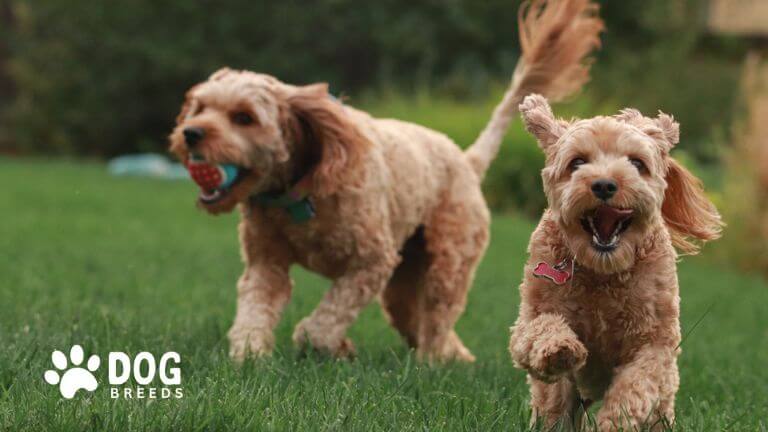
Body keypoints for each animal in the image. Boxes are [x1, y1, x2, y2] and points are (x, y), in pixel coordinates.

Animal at [171, 0, 604, 362]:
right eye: (200, 106)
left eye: (244, 117)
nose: (190, 134)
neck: (299, 193)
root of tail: (466, 159)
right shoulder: (267, 262)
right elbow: (256, 308)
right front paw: (249, 354)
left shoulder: (371, 261)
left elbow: (325, 321)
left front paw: (327, 344)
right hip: (404, 278)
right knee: (417, 317)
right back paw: (454, 356)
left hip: (448, 261)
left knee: (437, 314)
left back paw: (432, 362)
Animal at [510, 93, 720, 428]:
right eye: (577, 162)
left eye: (637, 163)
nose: (605, 184)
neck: (603, 271)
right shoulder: (531, 316)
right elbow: (540, 329)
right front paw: (560, 349)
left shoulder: (655, 343)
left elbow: (635, 387)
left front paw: (613, 422)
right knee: (554, 405)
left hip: (663, 401)